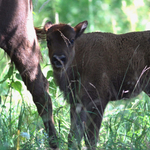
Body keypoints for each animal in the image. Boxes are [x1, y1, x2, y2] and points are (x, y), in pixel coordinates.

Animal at [39, 20, 150, 150]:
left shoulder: (97, 103)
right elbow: (74, 136)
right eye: (48, 40)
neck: (81, 56)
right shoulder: (77, 103)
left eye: (71, 40)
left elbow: (90, 138)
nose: (58, 59)